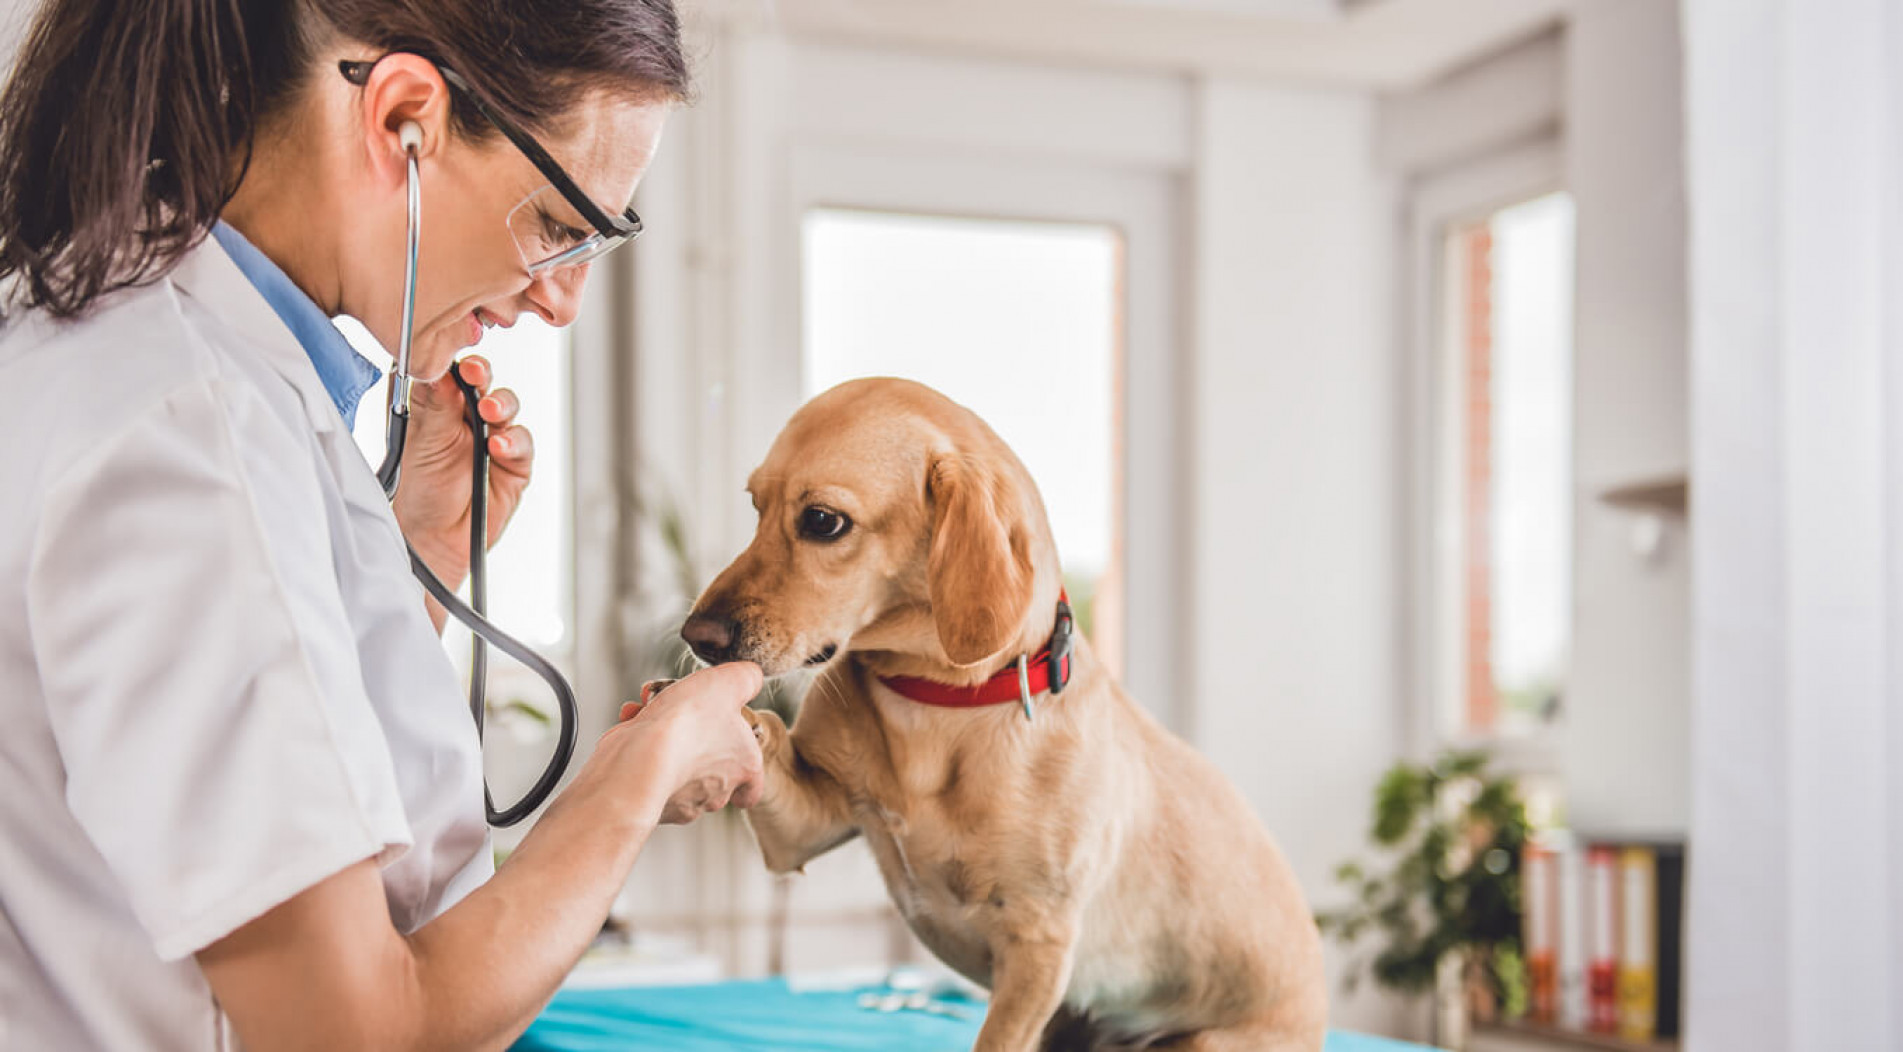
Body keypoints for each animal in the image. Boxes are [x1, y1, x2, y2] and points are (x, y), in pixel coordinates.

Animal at [681, 378, 1324, 1050]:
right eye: (756, 506)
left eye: (823, 521)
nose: (695, 636)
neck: (933, 704)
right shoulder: (804, 830)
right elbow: (772, 743)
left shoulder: (1036, 947)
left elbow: (997, 1038)